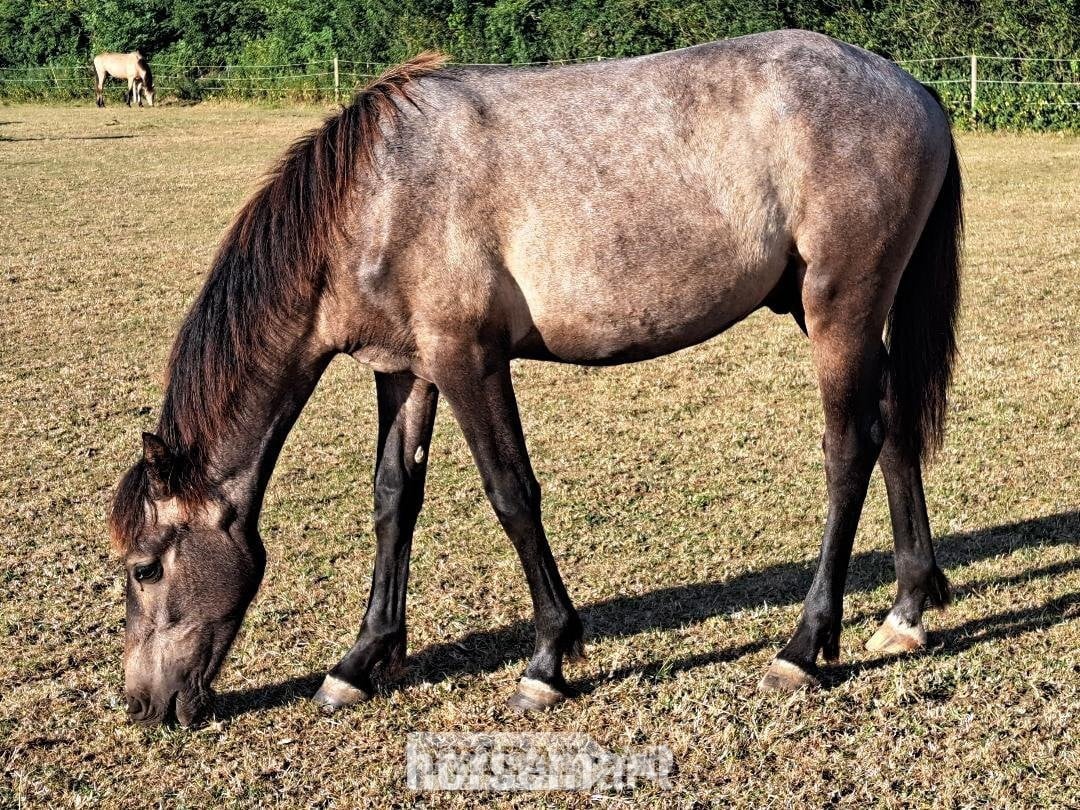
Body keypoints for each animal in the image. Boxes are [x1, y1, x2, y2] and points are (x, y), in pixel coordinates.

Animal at [108, 29, 962, 727]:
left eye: (146, 567)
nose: (144, 704)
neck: (375, 196)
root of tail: (912, 88)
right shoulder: (406, 372)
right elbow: (393, 501)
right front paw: (360, 661)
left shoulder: (468, 359)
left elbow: (511, 495)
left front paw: (548, 659)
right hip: (832, 312)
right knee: (891, 423)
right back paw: (906, 611)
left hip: (839, 304)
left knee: (849, 449)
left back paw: (803, 647)